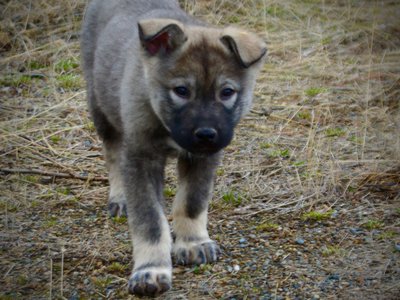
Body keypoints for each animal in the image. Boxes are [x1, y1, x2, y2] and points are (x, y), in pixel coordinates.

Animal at [80, 0, 266, 296]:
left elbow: (192, 201)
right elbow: (150, 221)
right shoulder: (140, 159)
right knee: (112, 155)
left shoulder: (203, 158)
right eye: (181, 90)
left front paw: (192, 242)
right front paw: (151, 269)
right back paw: (120, 198)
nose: (206, 134)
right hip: (100, 107)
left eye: (226, 92)